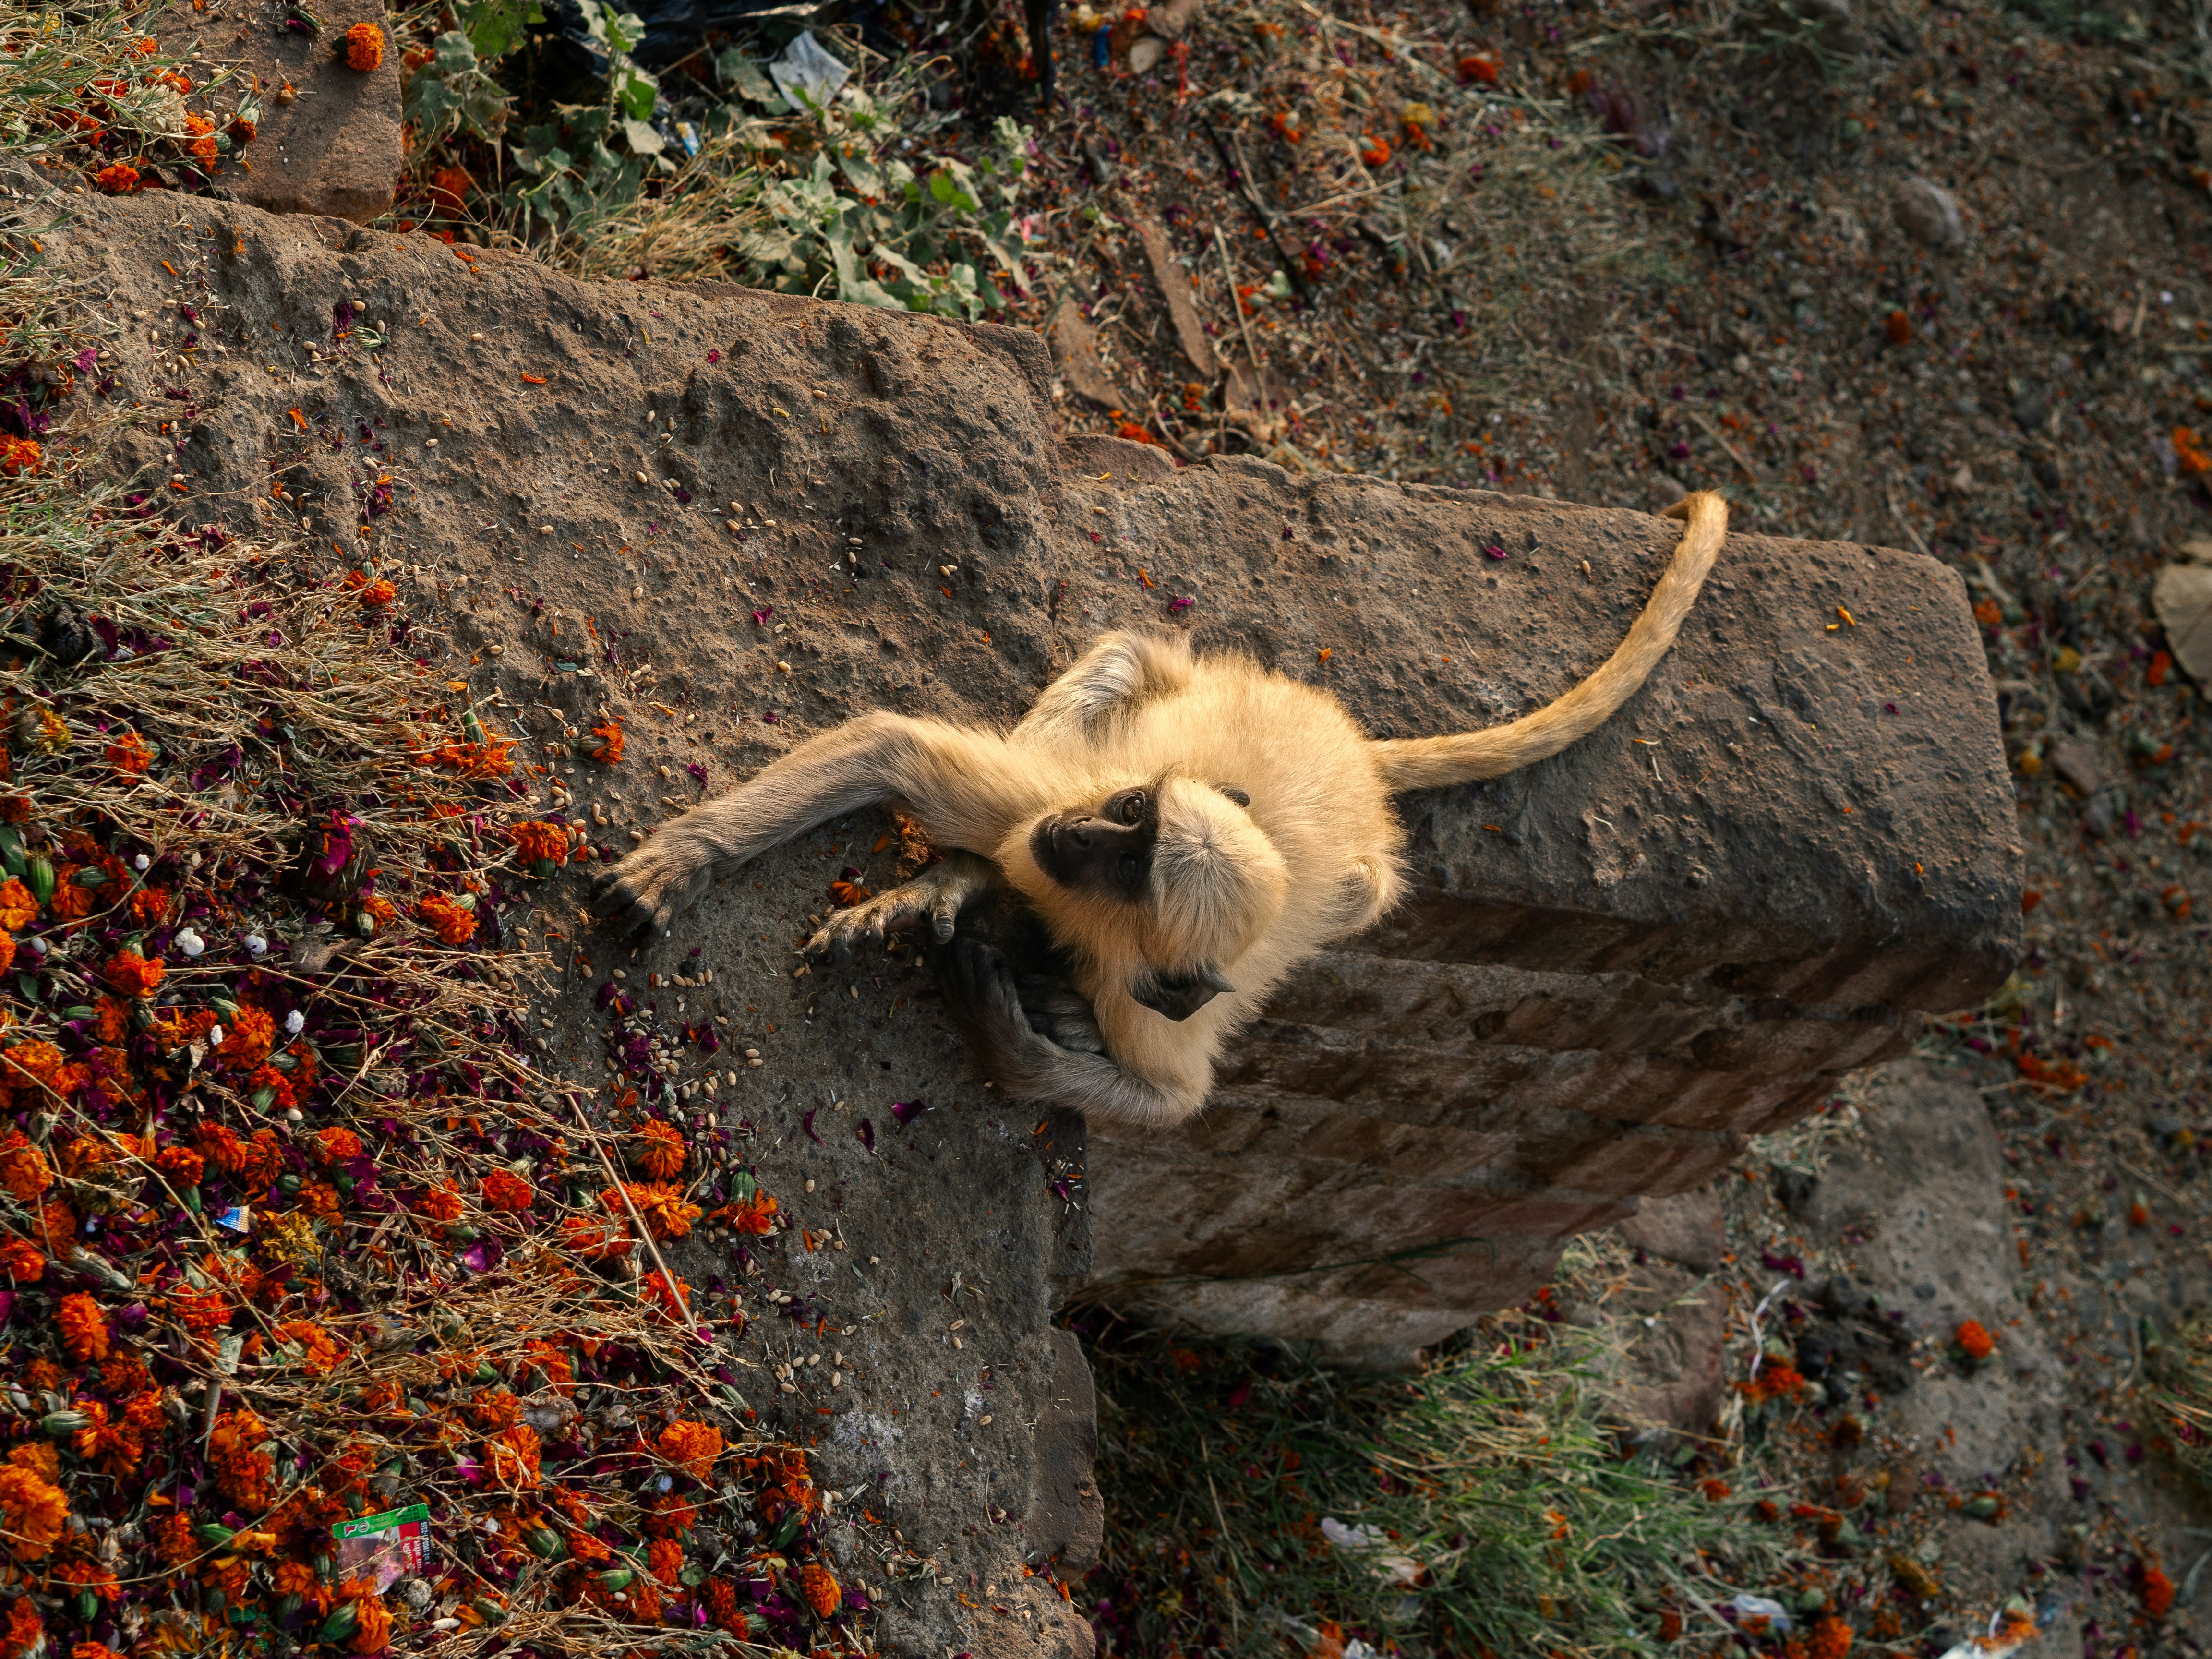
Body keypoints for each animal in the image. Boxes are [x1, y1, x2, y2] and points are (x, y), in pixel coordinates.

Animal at [593, 491, 1730, 1128]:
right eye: (1131, 815)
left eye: (1127, 867)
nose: (1083, 832)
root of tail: (1351, 751)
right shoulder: (1043, 808)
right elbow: (894, 748)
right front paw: (684, 861)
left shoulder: (1140, 991)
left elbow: (1168, 1100)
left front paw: (1009, 1025)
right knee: (1119, 663)